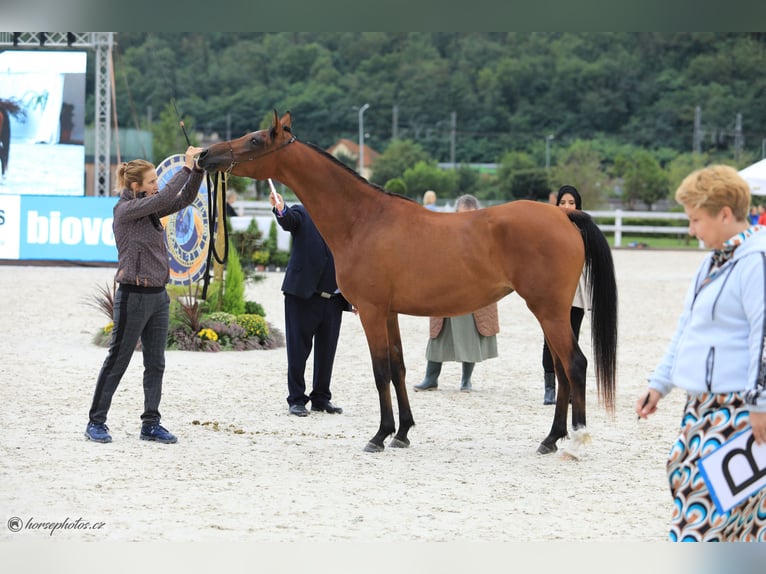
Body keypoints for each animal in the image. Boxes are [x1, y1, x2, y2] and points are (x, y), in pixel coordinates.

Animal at [198, 110, 616, 456]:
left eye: (255, 139)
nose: (205, 156)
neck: (364, 219)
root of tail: (564, 217)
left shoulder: (370, 311)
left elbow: (380, 369)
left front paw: (379, 435)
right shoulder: (390, 312)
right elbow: (398, 367)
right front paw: (402, 433)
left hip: (549, 311)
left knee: (574, 364)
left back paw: (574, 440)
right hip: (551, 312)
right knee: (561, 368)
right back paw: (551, 439)